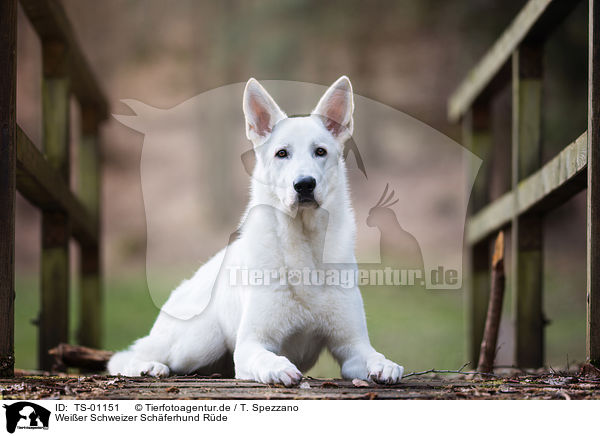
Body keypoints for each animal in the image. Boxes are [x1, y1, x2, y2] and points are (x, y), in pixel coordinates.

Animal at [110, 77, 406, 384]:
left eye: (320, 151)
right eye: (282, 153)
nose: (304, 184)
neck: (302, 242)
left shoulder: (353, 347)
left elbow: (372, 356)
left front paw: (385, 365)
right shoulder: (252, 344)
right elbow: (266, 357)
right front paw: (279, 368)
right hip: (197, 342)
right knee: (130, 356)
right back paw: (148, 366)